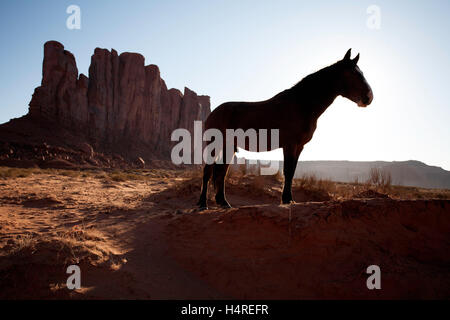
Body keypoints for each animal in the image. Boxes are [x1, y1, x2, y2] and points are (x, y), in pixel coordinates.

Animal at [197, 48, 372, 209]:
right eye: (352, 74)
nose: (369, 97)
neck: (302, 105)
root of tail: (214, 112)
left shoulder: (299, 146)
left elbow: (292, 171)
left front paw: (289, 199)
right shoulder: (290, 145)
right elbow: (288, 171)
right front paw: (286, 199)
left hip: (229, 147)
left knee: (221, 173)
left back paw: (223, 202)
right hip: (214, 145)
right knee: (208, 172)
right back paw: (202, 204)